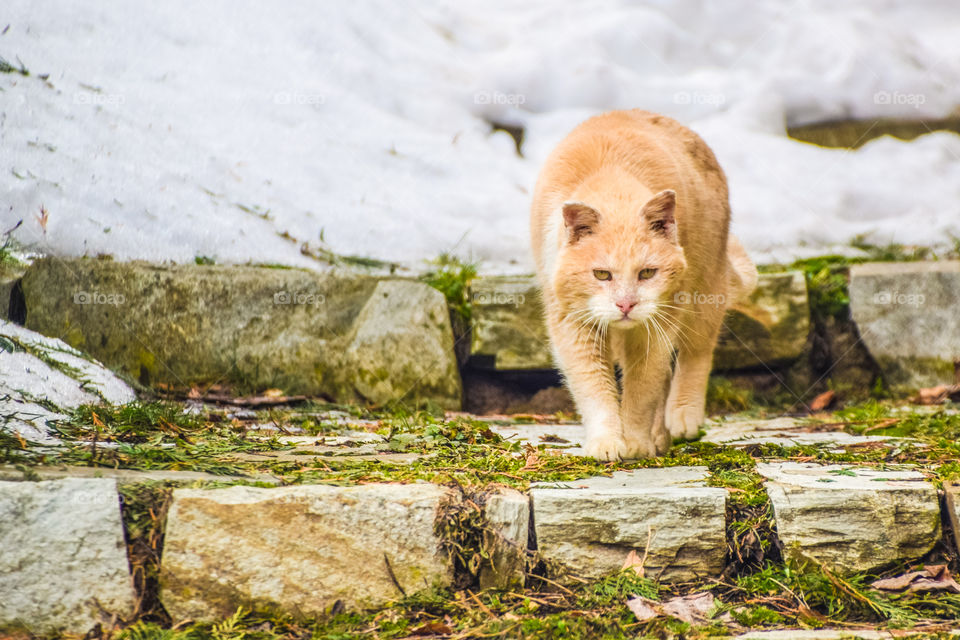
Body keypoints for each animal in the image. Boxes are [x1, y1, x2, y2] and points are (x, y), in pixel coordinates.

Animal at [528, 110, 752, 460]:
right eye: (601, 275)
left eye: (647, 273)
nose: (626, 304)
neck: (612, 181)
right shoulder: (574, 326)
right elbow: (595, 389)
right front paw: (607, 442)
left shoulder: (657, 325)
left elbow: (641, 389)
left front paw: (635, 442)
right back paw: (660, 436)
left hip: (705, 291)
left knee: (696, 354)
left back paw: (682, 417)